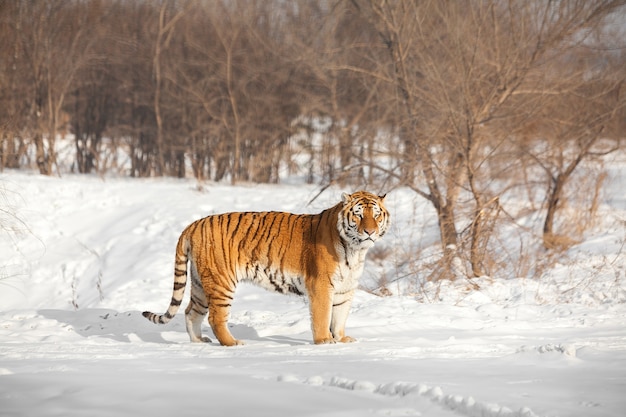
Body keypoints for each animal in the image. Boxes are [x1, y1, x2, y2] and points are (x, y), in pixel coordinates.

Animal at [143, 189, 388, 344]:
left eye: (376, 215)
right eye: (358, 215)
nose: (370, 231)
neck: (356, 250)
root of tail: (193, 224)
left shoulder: (345, 289)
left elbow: (339, 318)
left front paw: (342, 339)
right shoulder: (320, 286)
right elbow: (322, 317)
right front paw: (324, 342)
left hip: (200, 283)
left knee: (190, 312)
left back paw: (198, 341)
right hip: (221, 281)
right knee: (215, 317)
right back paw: (233, 343)